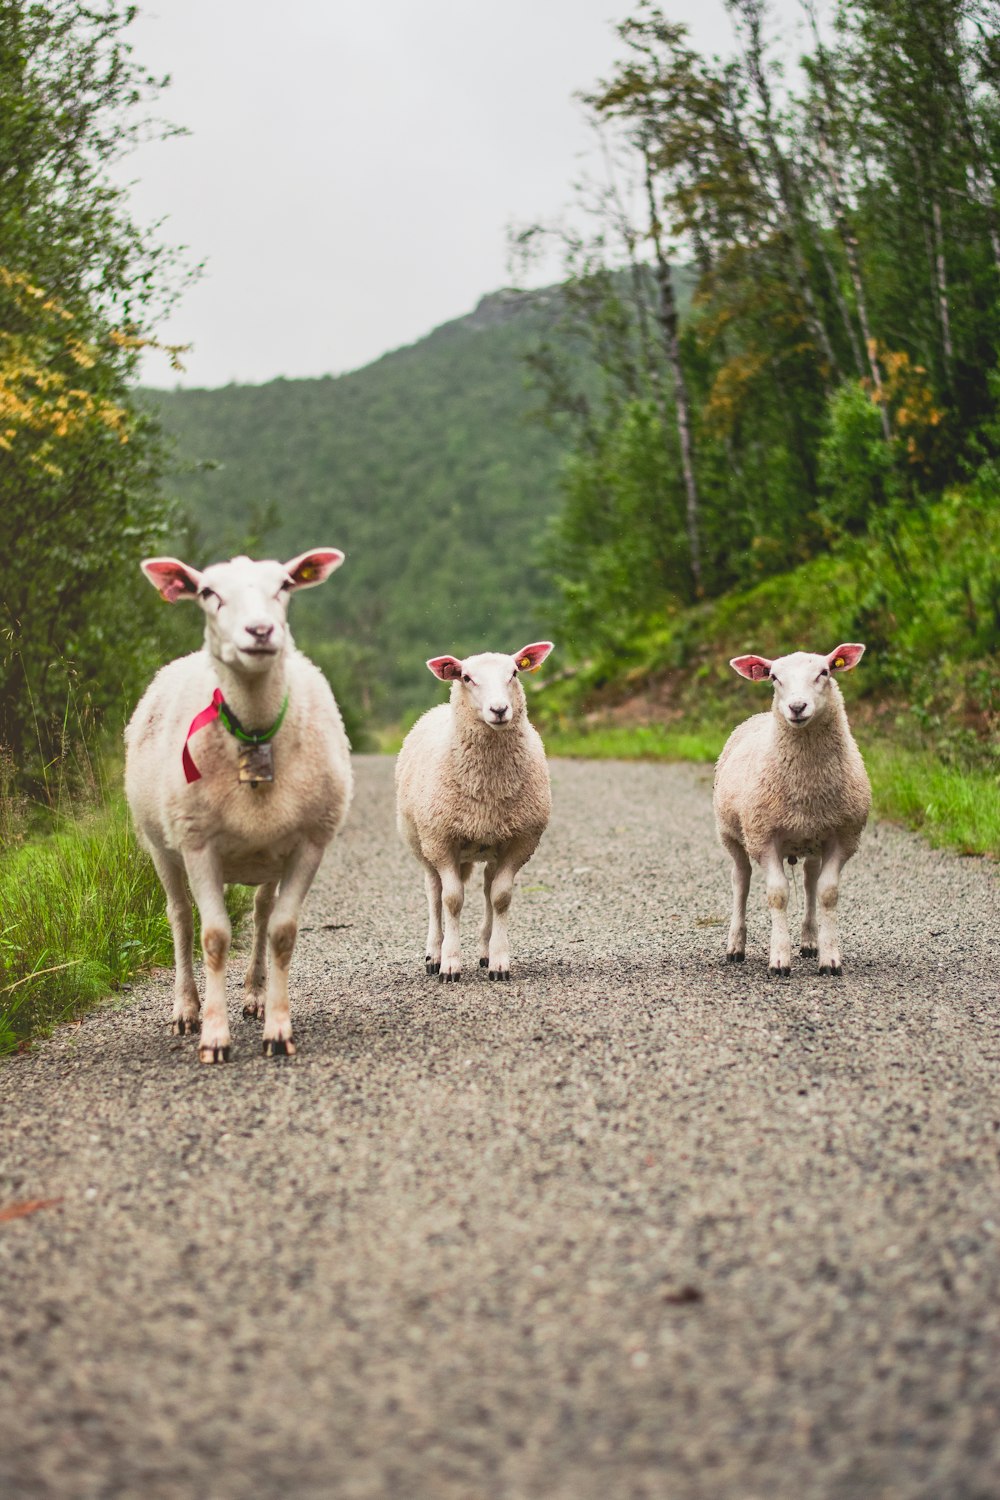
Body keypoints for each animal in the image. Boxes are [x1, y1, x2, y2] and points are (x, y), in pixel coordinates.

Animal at [125, 555, 353, 1068]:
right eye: (208, 593)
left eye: (285, 585)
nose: (261, 631)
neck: (253, 731)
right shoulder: (198, 843)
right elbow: (213, 938)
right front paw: (214, 1037)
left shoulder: (310, 843)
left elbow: (282, 932)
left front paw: (278, 1030)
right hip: (161, 844)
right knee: (180, 917)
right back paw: (187, 1009)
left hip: (268, 854)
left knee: (261, 913)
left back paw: (253, 994)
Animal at [395, 642, 554, 984]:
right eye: (467, 678)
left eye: (514, 673)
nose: (499, 710)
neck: (488, 789)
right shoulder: (441, 841)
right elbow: (452, 900)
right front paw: (450, 965)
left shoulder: (521, 842)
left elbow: (500, 897)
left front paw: (499, 962)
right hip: (420, 842)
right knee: (434, 892)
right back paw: (433, 954)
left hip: (491, 844)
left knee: (487, 889)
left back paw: (484, 951)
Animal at [716, 642, 869, 972]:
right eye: (774, 677)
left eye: (824, 672)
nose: (797, 707)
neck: (806, 785)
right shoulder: (763, 836)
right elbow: (778, 895)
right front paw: (779, 958)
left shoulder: (844, 837)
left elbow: (827, 893)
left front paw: (830, 958)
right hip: (731, 834)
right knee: (741, 880)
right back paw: (735, 946)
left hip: (812, 838)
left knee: (810, 880)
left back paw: (810, 940)